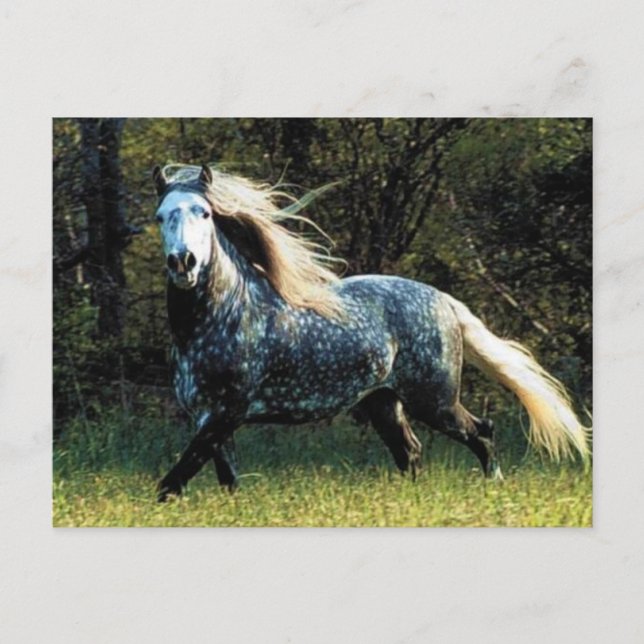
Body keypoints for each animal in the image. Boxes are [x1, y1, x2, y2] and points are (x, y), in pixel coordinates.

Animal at [151, 163, 591, 502]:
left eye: (205, 213)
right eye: (160, 216)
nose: (183, 263)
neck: (222, 319)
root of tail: (444, 300)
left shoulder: (226, 414)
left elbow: (172, 482)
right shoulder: (210, 419)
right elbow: (225, 481)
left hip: (434, 401)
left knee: (481, 432)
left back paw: (493, 488)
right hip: (385, 403)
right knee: (410, 453)